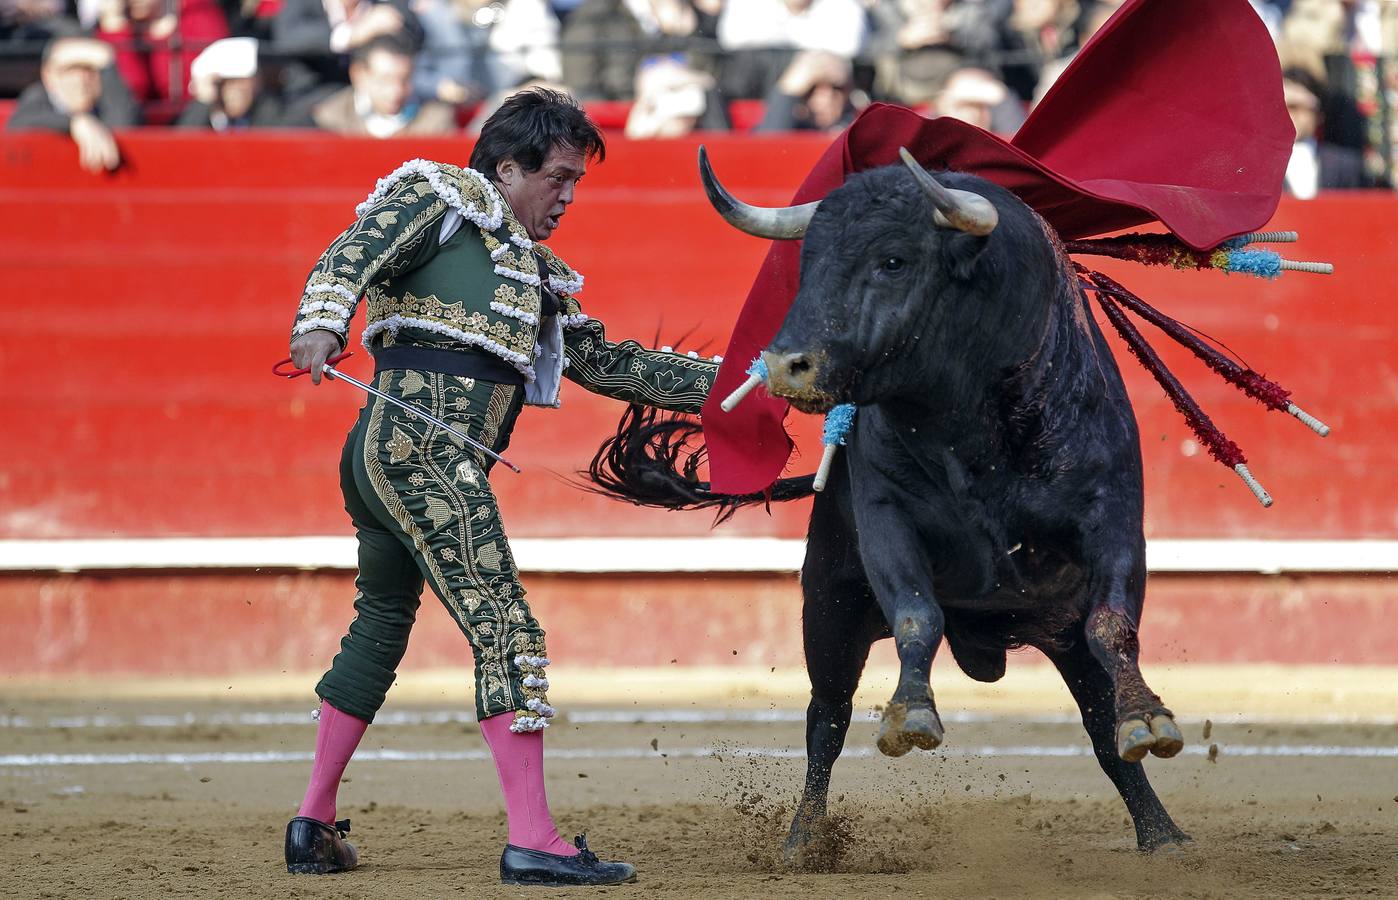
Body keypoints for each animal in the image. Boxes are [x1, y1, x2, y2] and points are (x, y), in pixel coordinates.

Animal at [589, 149, 1191, 855]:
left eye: (895, 260)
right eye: (806, 262)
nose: (784, 365)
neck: (970, 422)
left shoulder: (1112, 516)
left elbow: (1114, 624)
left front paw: (1150, 720)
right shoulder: (886, 523)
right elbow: (914, 614)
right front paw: (912, 715)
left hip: (1058, 633)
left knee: (1100, 726)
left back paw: (1162, 832)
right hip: (828, 605)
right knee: (827, 717)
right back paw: (804, 840)